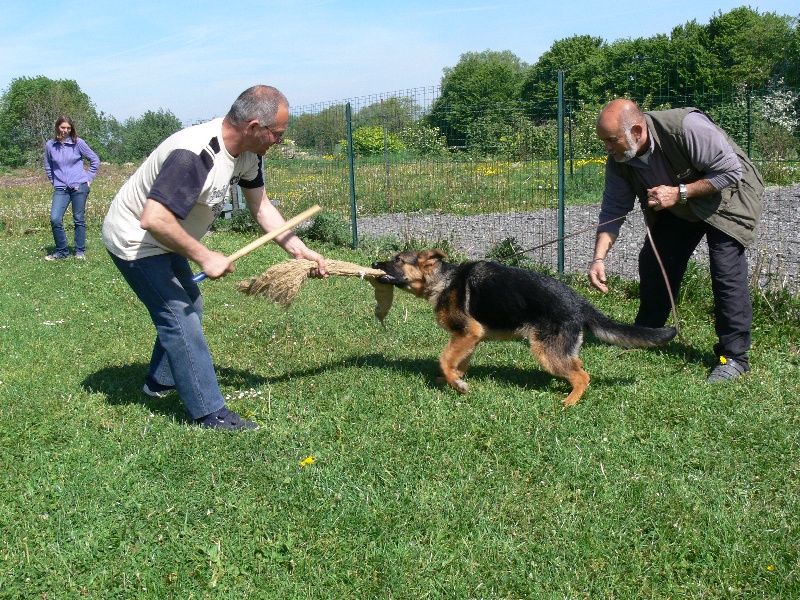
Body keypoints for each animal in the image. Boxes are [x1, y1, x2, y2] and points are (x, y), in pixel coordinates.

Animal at [374, 248, 676, 408]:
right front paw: (453, 379)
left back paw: (569, 401)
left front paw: (457, 385)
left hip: (546, 352)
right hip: (560, 350)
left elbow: (445, 359)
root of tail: (579, 302)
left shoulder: (467, 332)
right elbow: (458, 362)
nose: (375, 263)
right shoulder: (469, 337)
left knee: (583, 376)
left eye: (398, 259)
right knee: (577, 366)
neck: (443, 280)